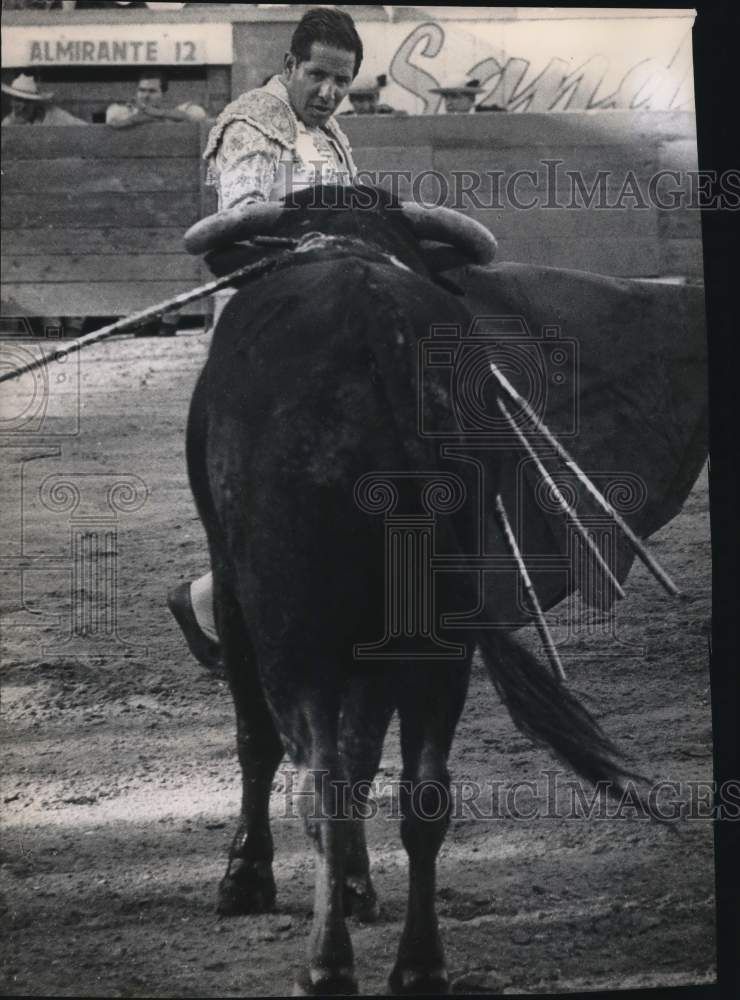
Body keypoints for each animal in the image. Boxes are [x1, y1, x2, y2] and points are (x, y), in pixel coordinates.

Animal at [184, 193, 704, 992]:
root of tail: (379, 334)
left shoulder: (243, 592)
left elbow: (262, 740)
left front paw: (246, 878)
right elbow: (368, 753)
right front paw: (358, 886)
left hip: (296, 626)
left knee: (317, 779)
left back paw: (326, 966)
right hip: (439, 630)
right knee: (423, 793)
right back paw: (419, 966)